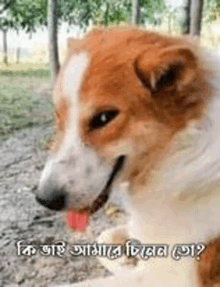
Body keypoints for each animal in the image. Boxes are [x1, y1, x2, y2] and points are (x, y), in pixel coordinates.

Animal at [35, 27, 220, 287]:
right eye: (58, 116)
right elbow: (106, 236)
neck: (178, 152)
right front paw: (125, 258)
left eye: (104, 118)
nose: (45, 199)